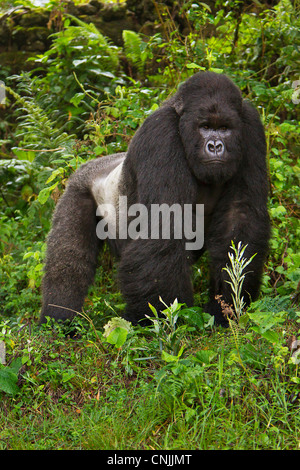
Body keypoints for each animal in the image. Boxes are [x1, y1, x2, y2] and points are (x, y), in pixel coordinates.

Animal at [39, 71, 270, 326]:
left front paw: (227, 306)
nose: (215, 146)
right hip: (77, 188)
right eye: (205, 126)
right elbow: (164, 225)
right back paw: (58, 317)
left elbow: (240, 217)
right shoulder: (161, 133)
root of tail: (92, 164)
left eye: (225, 128)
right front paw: (163, 316)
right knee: (69, 263)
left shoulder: (250, 126)